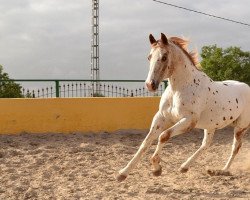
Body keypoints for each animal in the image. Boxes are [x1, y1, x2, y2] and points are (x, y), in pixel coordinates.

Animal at [116, 33, 250, 181]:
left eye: (164, 57)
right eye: (149, 57)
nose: (150, 85)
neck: (181, 88)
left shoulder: (188, 121)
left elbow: (163, 136)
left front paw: (157, 168)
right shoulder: (161, 117)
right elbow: (146, 142)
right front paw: (123, 173)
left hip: (240, 127)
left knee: (235, 148)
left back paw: (222, 171)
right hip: (211, 126)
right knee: (206, 144)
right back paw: (185, 167)